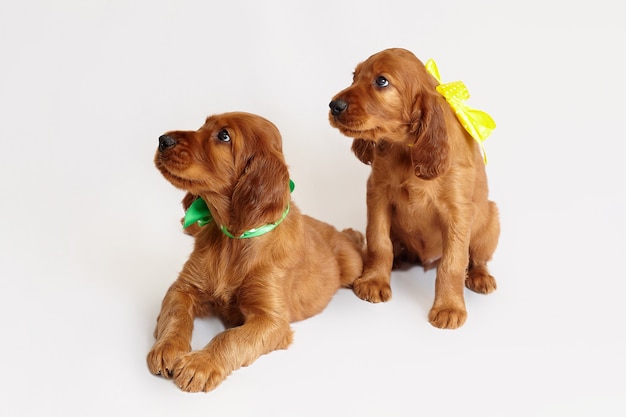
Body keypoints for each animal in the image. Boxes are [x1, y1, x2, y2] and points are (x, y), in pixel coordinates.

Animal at [148, 110, 364, 390]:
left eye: (224, 136)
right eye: (203, 125)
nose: (163, 140)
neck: (233, 240)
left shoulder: (271, 320)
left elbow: (230, 338)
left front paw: (200, 364)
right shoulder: (183, 287)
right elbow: (176, 314)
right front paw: (167, 348)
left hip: (351, 266)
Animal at [326, 48, 498, 328]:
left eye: (381, 81)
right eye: (354, 76)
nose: (334, 106)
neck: (405, 149)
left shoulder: (458, 211)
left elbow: (453, 263)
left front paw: (449, 307)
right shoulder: (377, 193)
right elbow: (379, 242)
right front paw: (374, 280)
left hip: (491, 220)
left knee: (478, 258)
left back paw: (480, 277)